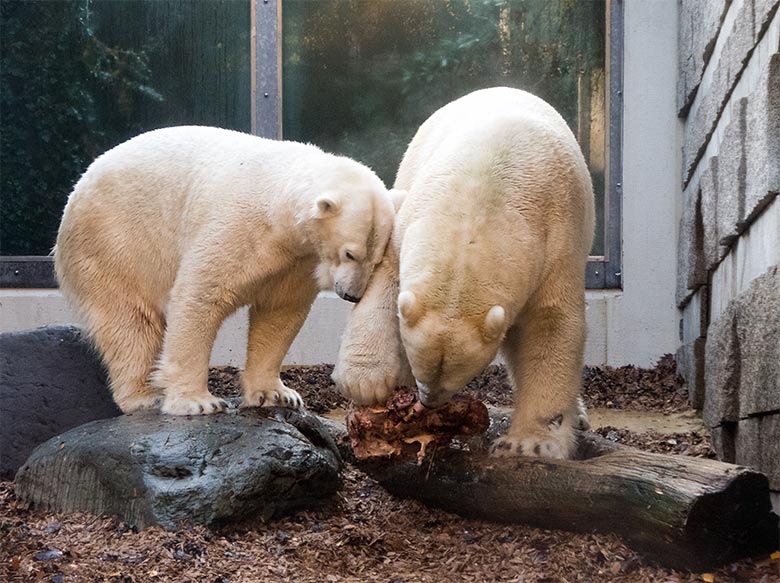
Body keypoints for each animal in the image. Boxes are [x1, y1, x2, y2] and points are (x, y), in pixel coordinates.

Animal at [56, 126, 396, 420]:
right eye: (350, 253)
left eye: (377, 258)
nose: (352, 294)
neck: (277, 207)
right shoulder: (238, 227)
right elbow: (201, 295)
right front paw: (198, 402)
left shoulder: (298, 261)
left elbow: (279, 313)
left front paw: (277, 394)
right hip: (115, 242)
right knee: (131, 322)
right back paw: (144, 396)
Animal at [332, 86, 596, 460]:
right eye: (418, 364)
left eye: (458, 377)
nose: (428, 401)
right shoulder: (411, 220)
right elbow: (387, 278)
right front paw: (366, 381)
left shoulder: (560, 239)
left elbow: (551, 324)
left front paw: (528, 444)